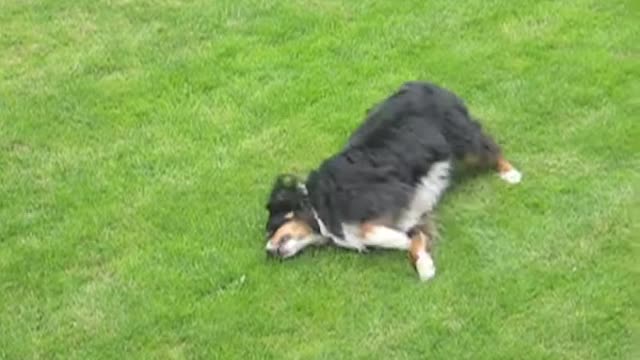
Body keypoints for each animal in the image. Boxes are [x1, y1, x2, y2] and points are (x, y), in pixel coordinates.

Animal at [264, 81, 520, 282]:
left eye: (270, 229)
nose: (268, 252)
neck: (319, 207)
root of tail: (423, 83)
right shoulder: (411, 210)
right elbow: (414, 237)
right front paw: (424, 264)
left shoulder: (396, 196)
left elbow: (370, 232)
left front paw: (400, 241)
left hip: (461, 137)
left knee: (490, 147)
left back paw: (511, 174)